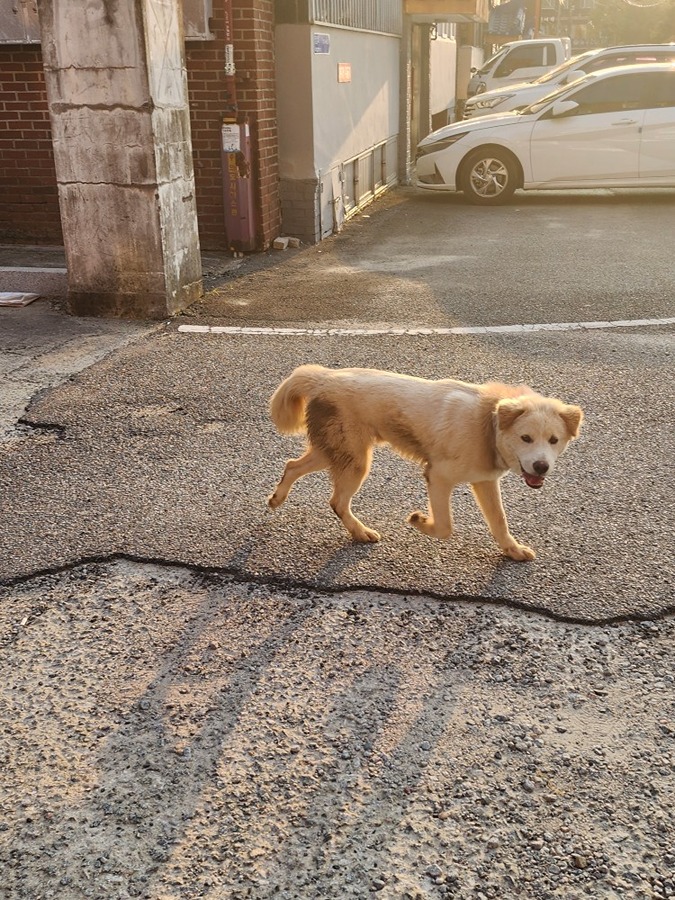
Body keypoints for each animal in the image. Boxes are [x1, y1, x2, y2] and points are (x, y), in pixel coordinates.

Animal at [266, 362, 584, 560]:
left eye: (553, 440)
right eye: (526, 438)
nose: (541, 466)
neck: (488, 422)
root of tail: (324, 377)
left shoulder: (485, 481)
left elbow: (499, 522)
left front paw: (512, 550)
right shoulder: (438, 477)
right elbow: (445, 527)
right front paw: (420, 521)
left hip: (335, 451)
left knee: (292, 465)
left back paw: (278, 498)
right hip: (355, 460)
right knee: (337, 501)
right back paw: (360, 531)